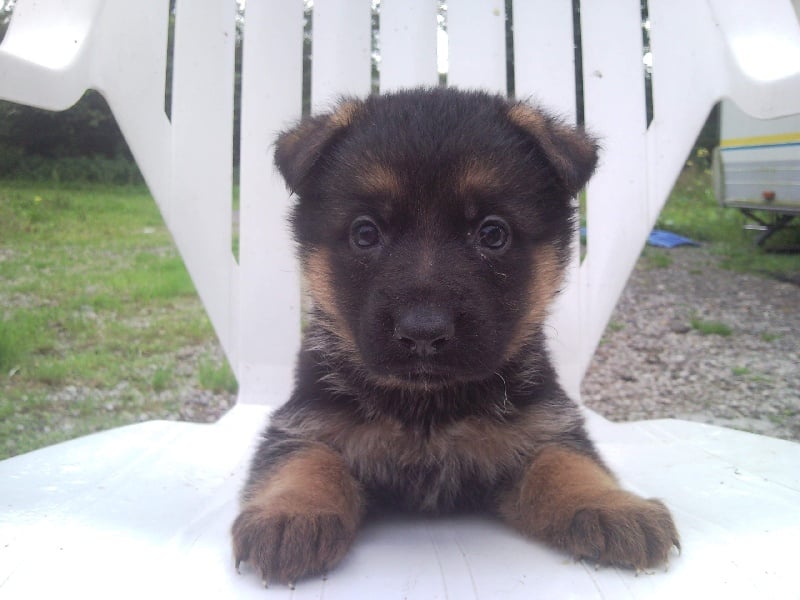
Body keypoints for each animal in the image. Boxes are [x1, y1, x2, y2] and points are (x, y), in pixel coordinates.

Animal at [230, 88, 676, 584]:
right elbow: (305, 459)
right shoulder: (304, 418)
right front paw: (292, 511)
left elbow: (565, 462)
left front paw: (609, 504)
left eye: (493, 233)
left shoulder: (539, 425)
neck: (428, 409)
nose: (423, 332)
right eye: (365, 232)